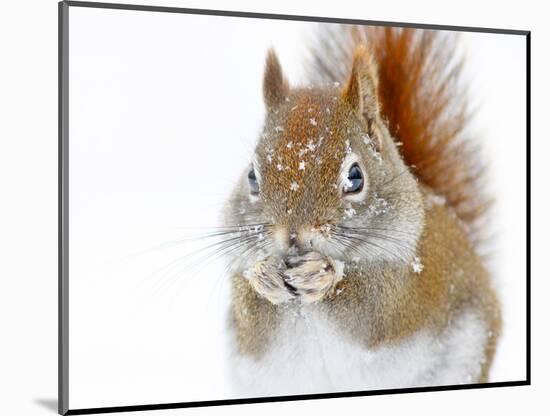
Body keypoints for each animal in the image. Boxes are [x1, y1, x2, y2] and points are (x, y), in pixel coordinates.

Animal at [223, 24, 500, 394]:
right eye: (252, 177)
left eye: (355, 177)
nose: (293, 236)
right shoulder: (249, 330)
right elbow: (252, 320)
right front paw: (263, 274)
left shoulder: (404, 291)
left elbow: (369, 310)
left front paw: (323, 274)